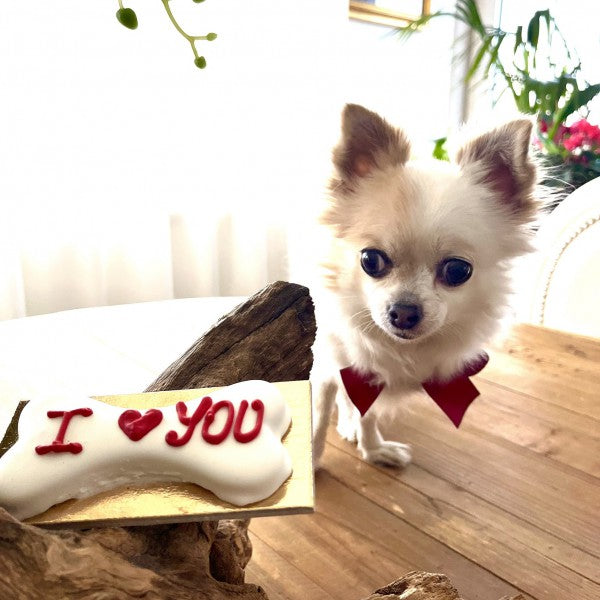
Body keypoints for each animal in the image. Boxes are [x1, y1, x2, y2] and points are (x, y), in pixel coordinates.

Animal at [312, 104, 536, 468]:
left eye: (458, 270)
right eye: (370, 260)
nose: (403, 312)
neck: (401, 351)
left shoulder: (369, 374)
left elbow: (367, 411)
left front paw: (372, 448)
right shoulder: (327, 364)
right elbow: (317, 421)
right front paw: (311, 466)